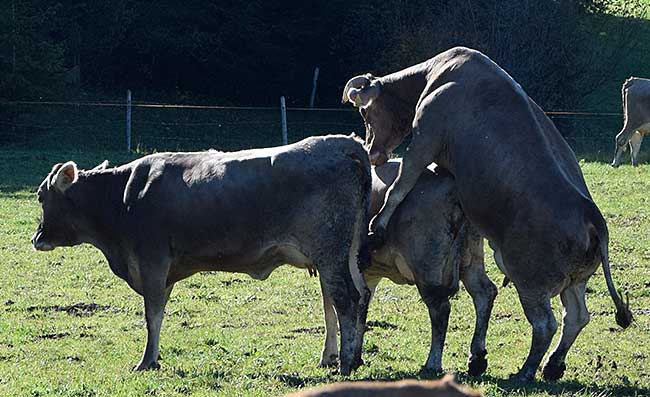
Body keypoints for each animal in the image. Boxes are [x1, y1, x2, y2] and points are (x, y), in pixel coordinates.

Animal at [31, 134, 370, 374]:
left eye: (39, 196)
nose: (36, 239)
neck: (122, 196)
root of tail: (345, 143)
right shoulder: (164, 270)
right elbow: (159, 311)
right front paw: (154, 357)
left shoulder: (151, 261)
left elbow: (152, 314)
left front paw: (146, 361)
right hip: (345, 253)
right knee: (357, 296)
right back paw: (348, 357)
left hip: (330, 254)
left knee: (344, 299)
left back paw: (344, 364)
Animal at [316, 158, 494, 374]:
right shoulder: (368, 273)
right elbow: (361, 307)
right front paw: (354, 357)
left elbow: (331, 310)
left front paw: (330, 356)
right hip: (470, 257)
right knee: (484, 293)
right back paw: (477, 357)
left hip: (426, 266)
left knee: (441, 309)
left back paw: (432, 363)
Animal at [342, 46, 632, 380]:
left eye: (365, 113)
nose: (372, 151)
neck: (438, 74)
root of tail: (591, 216)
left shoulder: (425, 139)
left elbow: (399, 187)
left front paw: (377, 225)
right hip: (574, 280)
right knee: (576, 316)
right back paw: (551, 365)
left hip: (528, 279)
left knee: (546, 323)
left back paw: (526, 370)